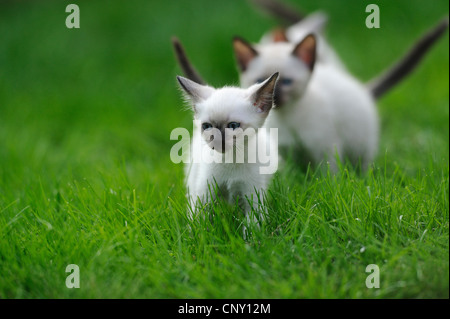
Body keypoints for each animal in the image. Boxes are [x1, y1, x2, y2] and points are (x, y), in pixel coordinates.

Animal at [178, 73, 280, 238]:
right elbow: (199, 221)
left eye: (233, 126)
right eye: (207, 126)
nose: (217, 141)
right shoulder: (205, 193)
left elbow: (252, 227)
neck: (231, 160)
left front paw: (251, 243)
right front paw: (197, 239)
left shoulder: (253, 197)